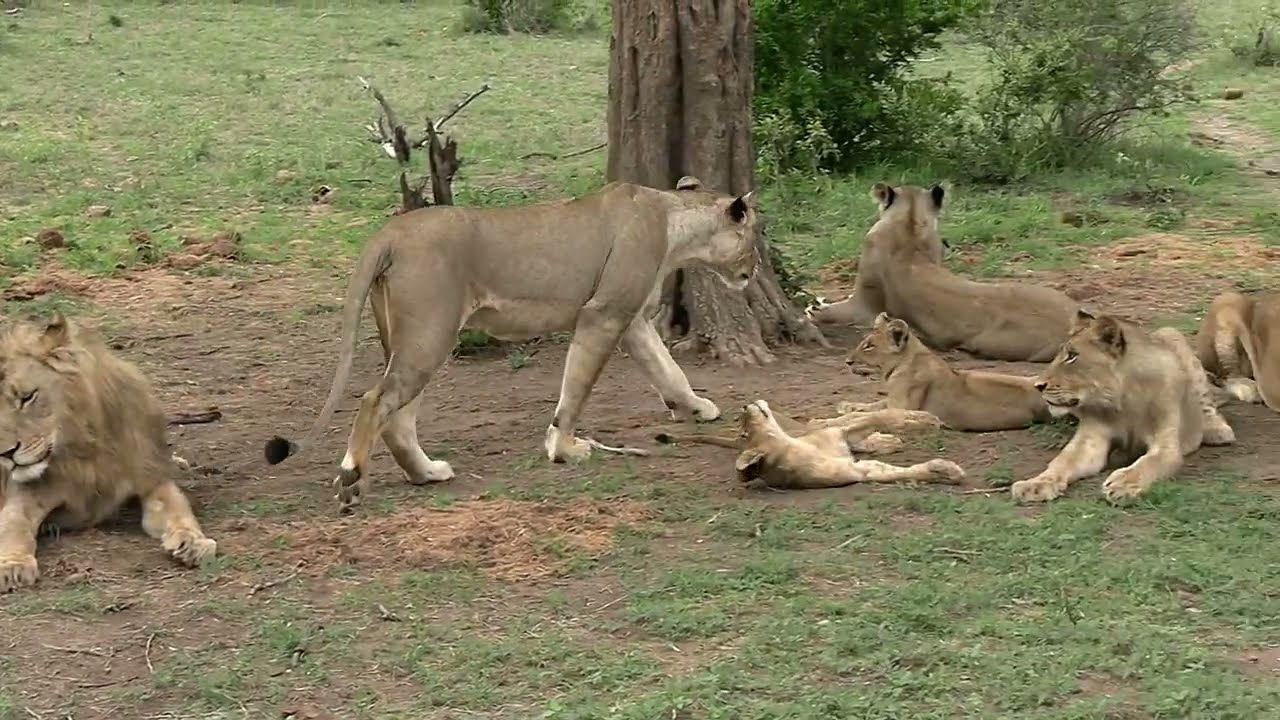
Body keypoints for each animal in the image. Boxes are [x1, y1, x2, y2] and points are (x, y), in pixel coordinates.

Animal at [0, 313, 217, 593]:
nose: (5, 453)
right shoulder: (24, 495)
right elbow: (13, 525)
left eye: (27, 397)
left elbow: (179, 508)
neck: (85, 449)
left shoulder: (151, 479)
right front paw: (12, 564)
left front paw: (193, 543)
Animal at [262, 177, 761, 512]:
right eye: (754, 238)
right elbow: (576, 390)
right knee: (374, 400)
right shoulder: (603, 314)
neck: (675, 221)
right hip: (431, 332)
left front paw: (696, 407)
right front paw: (564, 449)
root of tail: (389, 232)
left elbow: (667, 369)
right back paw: (352, 479)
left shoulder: (632, 319)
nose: (753, 270)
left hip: (409, 338)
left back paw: (427, 474)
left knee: (397, 415)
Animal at [655, 400, 966, 490]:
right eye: (744, 433)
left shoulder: (838, 434)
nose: (743, 407)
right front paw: (946, 470)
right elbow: (902, 471)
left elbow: (877, 416)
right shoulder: (858, 470)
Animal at [840, 312, 1053, 431]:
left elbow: (878, 411)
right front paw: (850, 406)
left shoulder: (904, 407)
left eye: (869, 346)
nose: (847, 361)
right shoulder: (893, 401)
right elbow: (875, 404)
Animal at [1010, 310, 1237, 505]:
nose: (1038, 385)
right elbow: (1061, 461)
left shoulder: (1166, 447)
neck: (1123, 402)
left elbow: (1146, 464)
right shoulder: (1090, 441)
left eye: (1072, 356)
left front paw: (1123, 484)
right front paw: (1035, 484)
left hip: (1172, 335)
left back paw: (1217, 431)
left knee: (1206, 401)